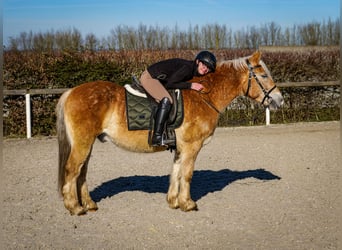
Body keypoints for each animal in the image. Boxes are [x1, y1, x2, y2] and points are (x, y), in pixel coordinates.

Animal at [56, 50, 282, 215]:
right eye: (263, 75)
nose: (279, 100)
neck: (204, 96)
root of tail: (71, 92)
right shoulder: (192, 146)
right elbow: (187, 174)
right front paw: (188, 203)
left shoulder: (181, 147)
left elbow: (176, 171)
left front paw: (173, 201)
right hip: (83, 142)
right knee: (72, 170)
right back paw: (75, 207)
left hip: (87, 143)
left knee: (82, 171)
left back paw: (89, 204)